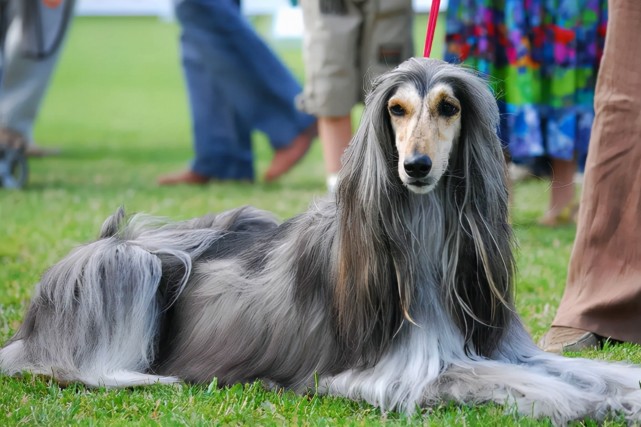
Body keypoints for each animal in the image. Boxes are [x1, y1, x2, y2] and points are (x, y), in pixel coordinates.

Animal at [1, 59, 640, 424]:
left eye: (449, 107)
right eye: (396, 108)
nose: (416, 167)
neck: (422, 238)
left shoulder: (502, 346)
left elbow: (583, 368)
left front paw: (615, 392)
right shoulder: (391, 373)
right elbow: (507, 380)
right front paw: (580, 402)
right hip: (120, 264)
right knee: (81, 360)